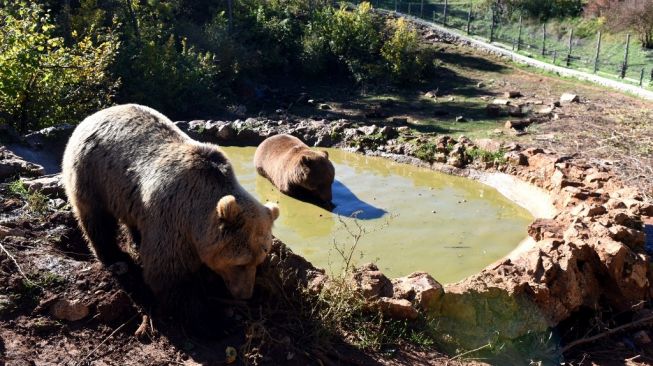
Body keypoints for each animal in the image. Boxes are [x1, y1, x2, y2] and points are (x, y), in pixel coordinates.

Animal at [63, 103, 280, 314]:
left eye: (260, 258)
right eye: (240, 263)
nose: (246, 294)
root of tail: (94, 115)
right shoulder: (172, 217)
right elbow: (168, 271)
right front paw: (200, 310)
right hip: (92, 173)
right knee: (96, 219)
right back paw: (111, 254)